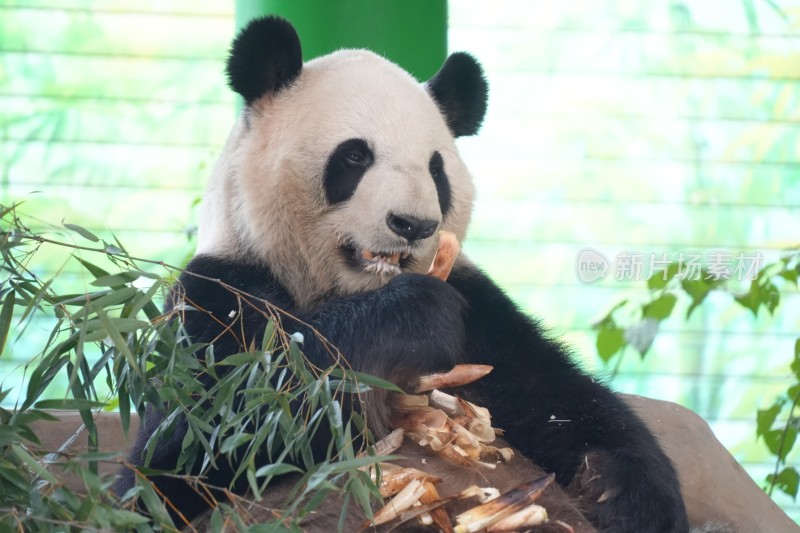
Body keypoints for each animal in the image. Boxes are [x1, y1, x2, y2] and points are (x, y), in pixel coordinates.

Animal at [112, 16, 692, 532]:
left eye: (436, 169)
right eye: (353, 157)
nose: (413, 225)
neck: (347, 289)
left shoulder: (483, 313)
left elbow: (558, 398)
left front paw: (624, 497)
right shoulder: (217, 294)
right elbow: (206, 437)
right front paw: (413, 318)